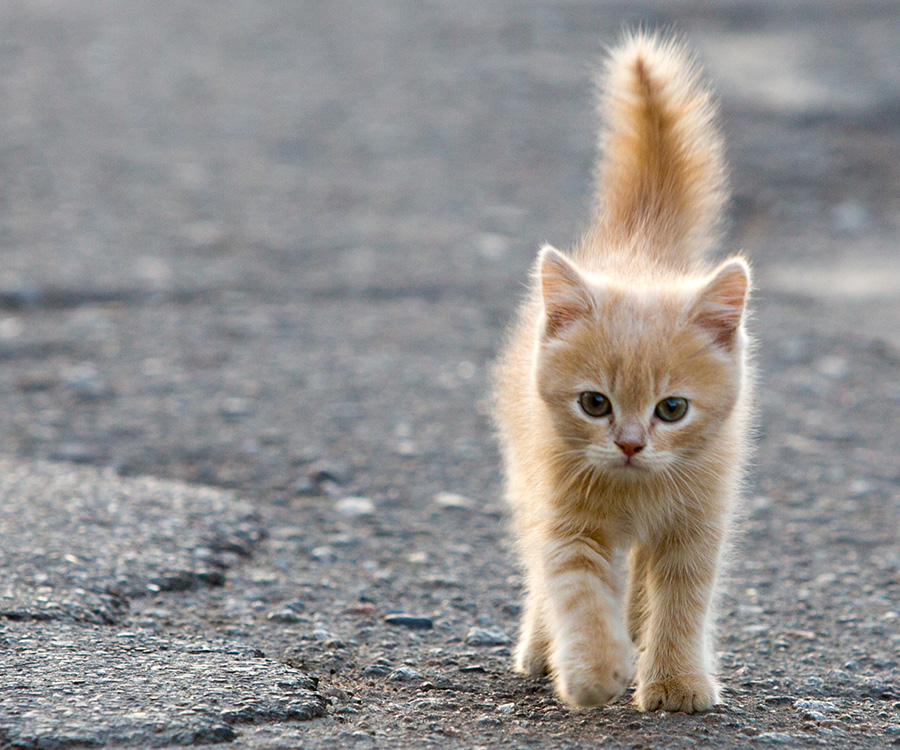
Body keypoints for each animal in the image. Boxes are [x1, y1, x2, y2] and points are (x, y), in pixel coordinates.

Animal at [492, 32, 752, 716]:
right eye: (594, 403)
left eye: (672, 409)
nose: (631, 445)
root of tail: (638, 247)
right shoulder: (566, 514)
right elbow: (577, 590)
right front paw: (592, 671)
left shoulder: (697, 522)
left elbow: (683, 601)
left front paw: (676, 682)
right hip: (525, 475)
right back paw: (543, 648)